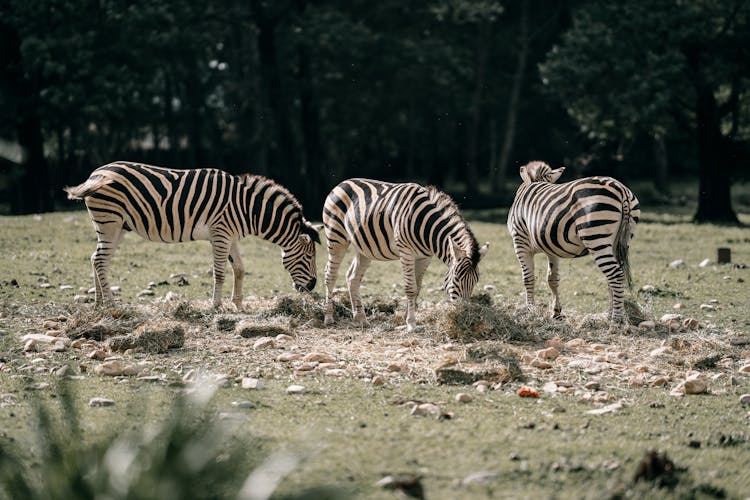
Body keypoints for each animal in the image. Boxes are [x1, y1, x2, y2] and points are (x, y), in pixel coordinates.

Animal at [64, 162, 320, 306]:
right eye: (309, 257)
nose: (312, 287)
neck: (248, 209)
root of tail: (96, 173)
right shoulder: (220, 233)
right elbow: (220, 272)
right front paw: (216, 306)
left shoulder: (231, 236)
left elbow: (239, 269)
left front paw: (239, 306)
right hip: (109, 221)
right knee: (100, 260)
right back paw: (111, 305)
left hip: (118, 226)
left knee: (97, 259)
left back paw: (99, 304)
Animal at [324, 178, 494, 330]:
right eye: (457, 278)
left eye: (476, 281)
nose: (465, 314)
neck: (427, 227)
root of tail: (343, 182)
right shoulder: (406, 252)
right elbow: (410, 288)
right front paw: (411, 324)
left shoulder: (425, 257)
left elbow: (417, 288)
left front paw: (407, 319)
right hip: (336, 237)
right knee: (330, 275)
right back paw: (329, 318)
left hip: (364, 248)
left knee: (352, 277)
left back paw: (360, 319)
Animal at [506, 160, 640, 324]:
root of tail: (620, 189)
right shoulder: (551, 247)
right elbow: (552, 279)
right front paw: (556, 313)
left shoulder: (520, 242)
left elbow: (528, 278)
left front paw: (530, 310)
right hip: (620, 241)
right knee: (614, 276)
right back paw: (609, 314)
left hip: (596, 237)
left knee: (616, 275)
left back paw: (616, 319)